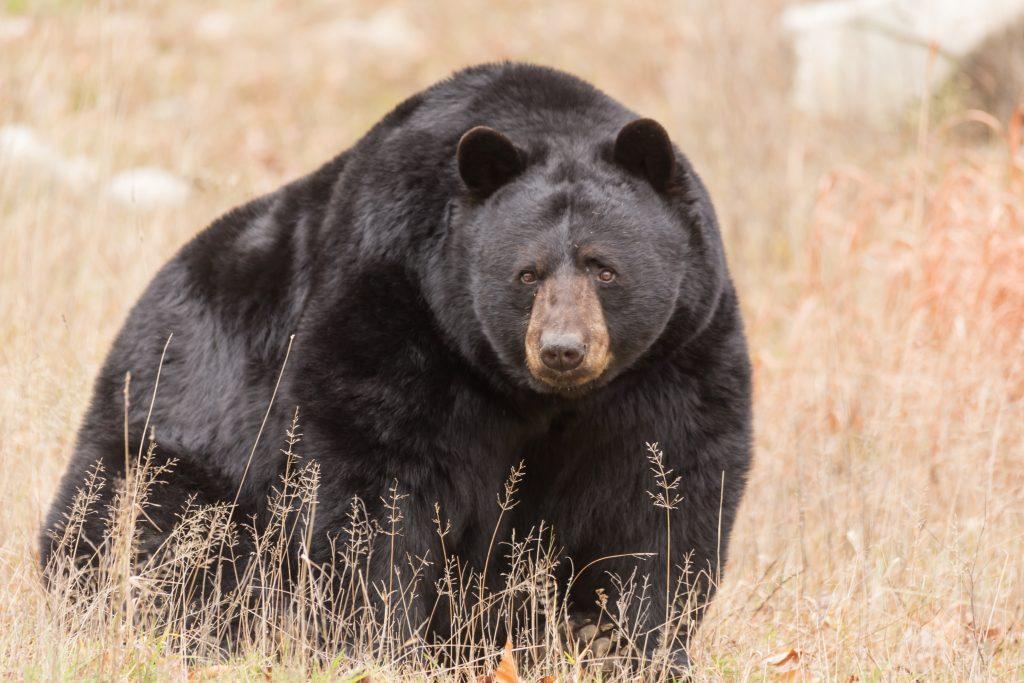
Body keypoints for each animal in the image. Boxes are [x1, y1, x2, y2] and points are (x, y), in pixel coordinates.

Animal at [39, 63, 753, 667]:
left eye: (605, 268)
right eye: (527, 274)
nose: (562, 349)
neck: (533, 393)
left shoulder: (675, 355)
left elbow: (663, 493)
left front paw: (628, 644)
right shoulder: (393, 309)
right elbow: (371, 483)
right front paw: (380, 643)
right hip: (174, 443)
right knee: (159, 535)